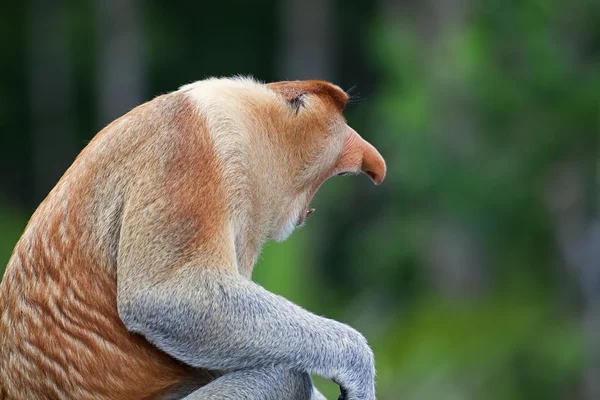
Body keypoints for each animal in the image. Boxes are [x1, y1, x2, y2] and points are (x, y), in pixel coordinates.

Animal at [0, 76, 384, 398]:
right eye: (339, 118)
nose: (375, 163)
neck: (248, 118)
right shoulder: (189, 149)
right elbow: (163, 296)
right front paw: (357, 367)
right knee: (286, 377)